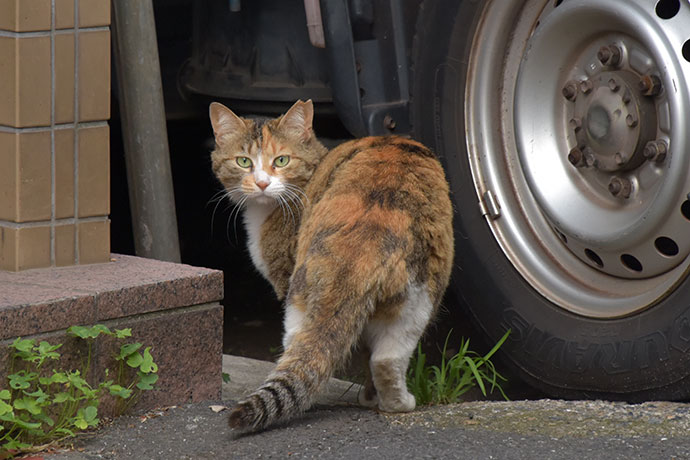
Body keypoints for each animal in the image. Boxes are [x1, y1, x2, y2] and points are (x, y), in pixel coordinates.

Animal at [210, 99, 456, 432]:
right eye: (243, 162)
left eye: (282, 160)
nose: (261, 183)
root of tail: (366, 238)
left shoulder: (284, 273)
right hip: (420, 294)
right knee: (385, 358)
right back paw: (393, 402)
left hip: (302, 292)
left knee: (302, 348)